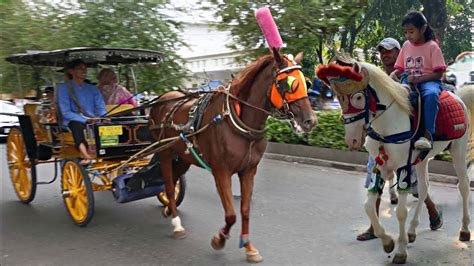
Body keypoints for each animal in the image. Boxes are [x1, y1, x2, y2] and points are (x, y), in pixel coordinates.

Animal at [150, 48, 316, 262]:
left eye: (306, 82)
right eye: (289, 84)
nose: (311, 121)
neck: (238, 121)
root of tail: (163, 98)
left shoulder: (248, 171)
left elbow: (244, 211)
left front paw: (248, 246)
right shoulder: (221, 172)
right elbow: (231, 215)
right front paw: (219, 239)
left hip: (184, 155)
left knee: (174, 178)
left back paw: (168, 209)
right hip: (164, 151)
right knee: (170, 185)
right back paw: (177, 223)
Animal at [316, 61, 472, 262]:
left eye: (358, 97)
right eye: (339, 98)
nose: (352, 140)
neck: (387, 124)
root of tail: (458, 97)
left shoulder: (403, 167)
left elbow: (400, 212)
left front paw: (400, 250)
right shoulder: (380, 165)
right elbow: (369, 206)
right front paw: (387, 241)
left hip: (458, 149)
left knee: (464, 186)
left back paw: (465, 230)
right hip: (422, 159)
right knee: (424, 189)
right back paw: (412, 230)